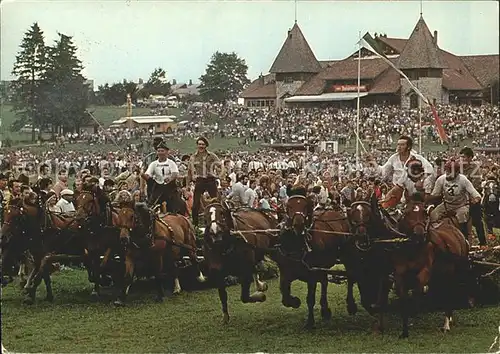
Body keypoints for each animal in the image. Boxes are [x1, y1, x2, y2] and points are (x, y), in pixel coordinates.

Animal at [276, 195, 354, 328]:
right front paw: (295, 302)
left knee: (350, 277)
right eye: (289, 206)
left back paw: (350, 305)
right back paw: (325, 309)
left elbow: (310, 299)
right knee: (324, 282)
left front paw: (310, 322)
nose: (298, 225)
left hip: (346, 257)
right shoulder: (286, 273)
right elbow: (284, 294)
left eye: (305, 205)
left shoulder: (312, 274)